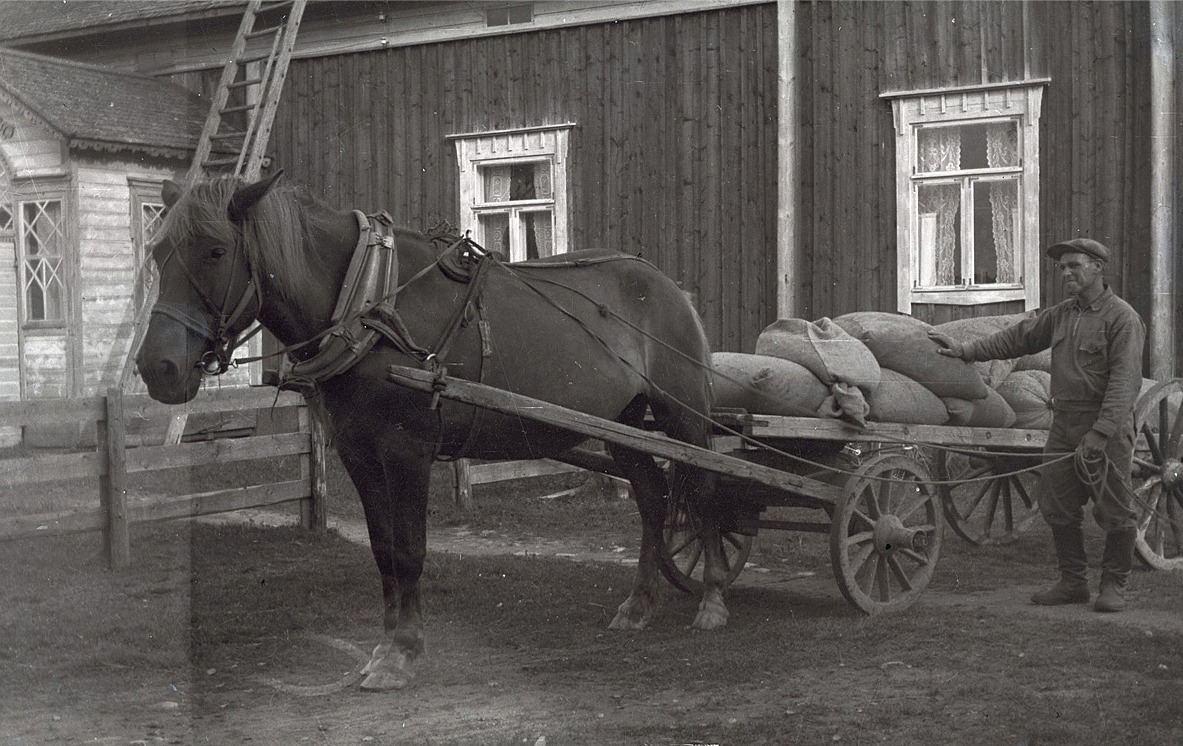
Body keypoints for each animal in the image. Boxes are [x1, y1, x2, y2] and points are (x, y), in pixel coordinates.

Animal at [134, 172, 733, 690]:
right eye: (158, 253)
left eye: (216, 251)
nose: (157, 368)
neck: (369, 305)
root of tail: (664, 284)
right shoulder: (357, 453)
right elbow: (382, 550)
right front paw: (385, 646)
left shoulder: (408, 450)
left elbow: (409, 550)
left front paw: (402, 653)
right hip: (624, 422)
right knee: (653, 496)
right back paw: (640, 603)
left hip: (682, 417)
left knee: (706, 493)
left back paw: (713, 599)